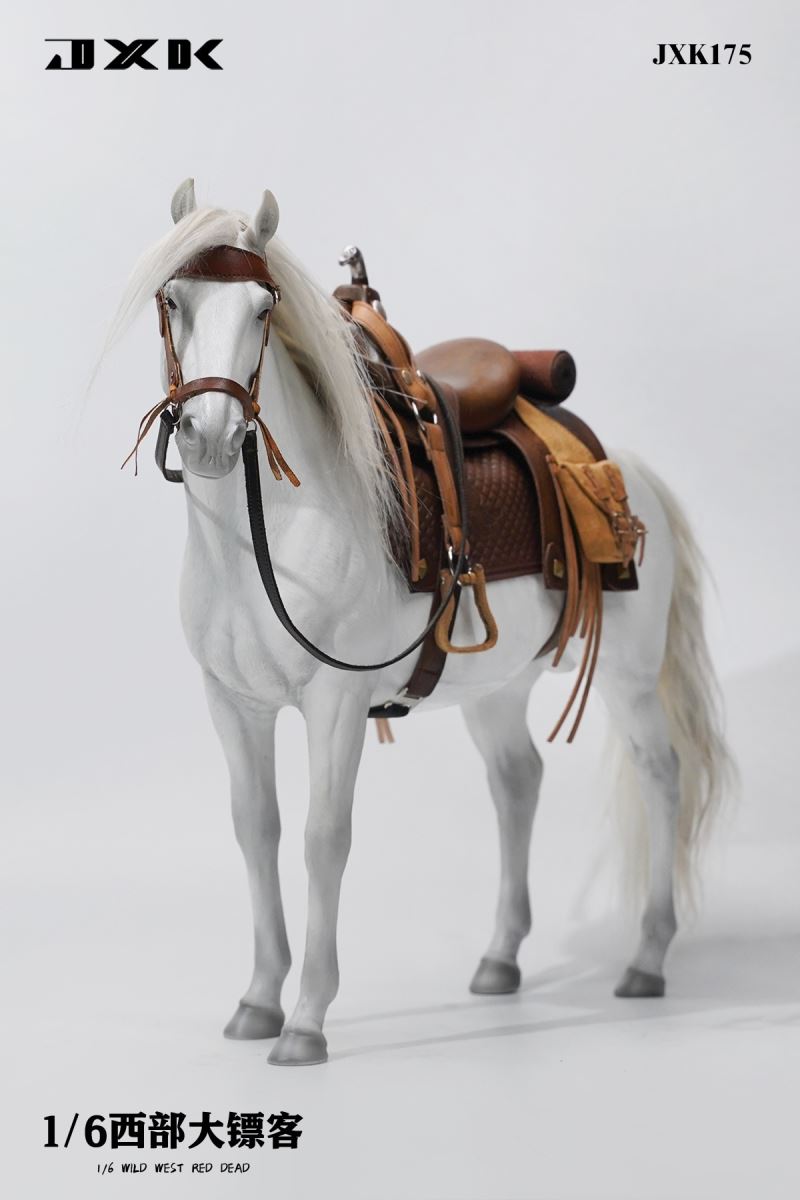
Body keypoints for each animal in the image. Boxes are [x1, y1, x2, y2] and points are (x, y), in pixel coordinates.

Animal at [108, 180, 734, 1066]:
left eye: (263, 308)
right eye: (171, 299)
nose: (211, 437)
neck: (262, 543)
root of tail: (631, 469)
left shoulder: (334, 704)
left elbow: (322, 838)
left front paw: (305, 1022)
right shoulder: (232, 702)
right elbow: (256, 830)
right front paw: (258, 1001)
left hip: (630, 675)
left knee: (660, 775)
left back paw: (646, 958)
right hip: (497, 688)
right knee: (517, 780)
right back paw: (500, 959)